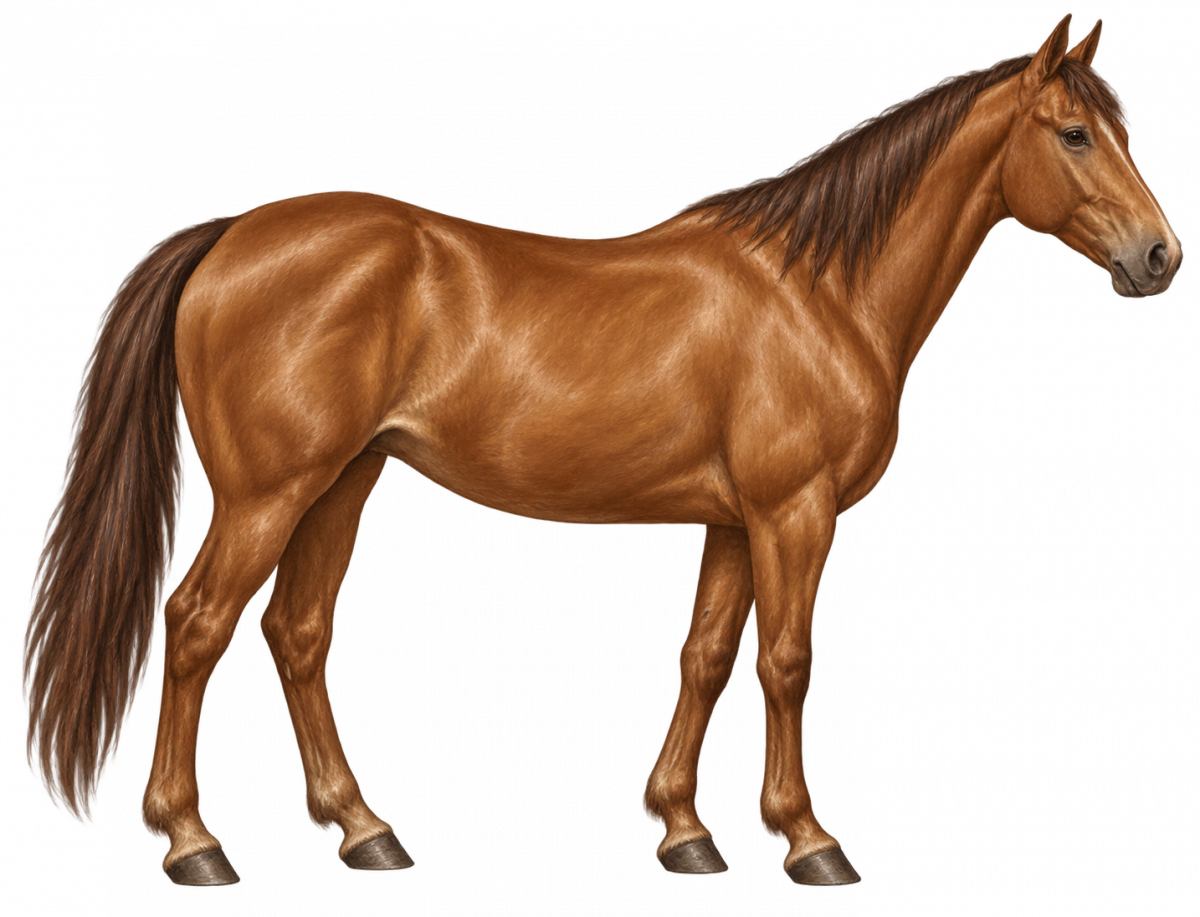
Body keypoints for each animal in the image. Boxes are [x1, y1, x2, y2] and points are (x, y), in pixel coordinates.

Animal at [21, 13, 1182, 888]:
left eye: (1123, 126)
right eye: (1074, 134)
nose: (1161, 255)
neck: (817, 294)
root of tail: (228, 237)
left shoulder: (730, 522)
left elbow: (704, 659)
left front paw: (684, 829)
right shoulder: (793, 512)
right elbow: (787, 661)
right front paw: (809, 839)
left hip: (343, 484)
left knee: (297, 635)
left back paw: (366, 829)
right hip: (269, 493)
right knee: (198, 627)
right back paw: (193, 842)